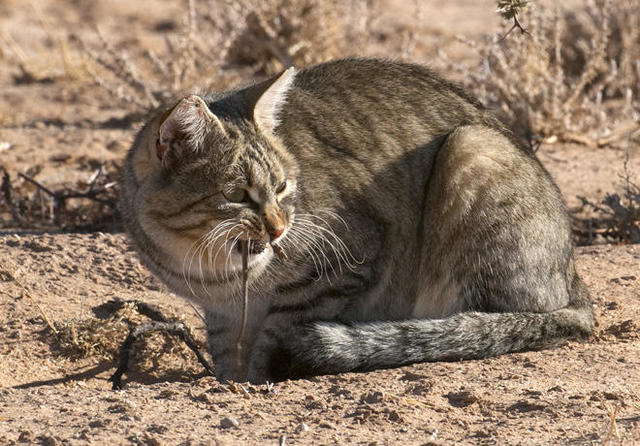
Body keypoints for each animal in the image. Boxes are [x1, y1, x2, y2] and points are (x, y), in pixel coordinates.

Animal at [121, 57, 596, 382]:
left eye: (282, 186)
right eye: (236, 195)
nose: (279, 228)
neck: (213, 269)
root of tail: (575, 279)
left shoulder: (347, 260)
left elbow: (279, 330)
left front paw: (258, 380)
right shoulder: (219, 312)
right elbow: (228, 355)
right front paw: (230, 382)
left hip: (473, 147)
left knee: (494, 321)